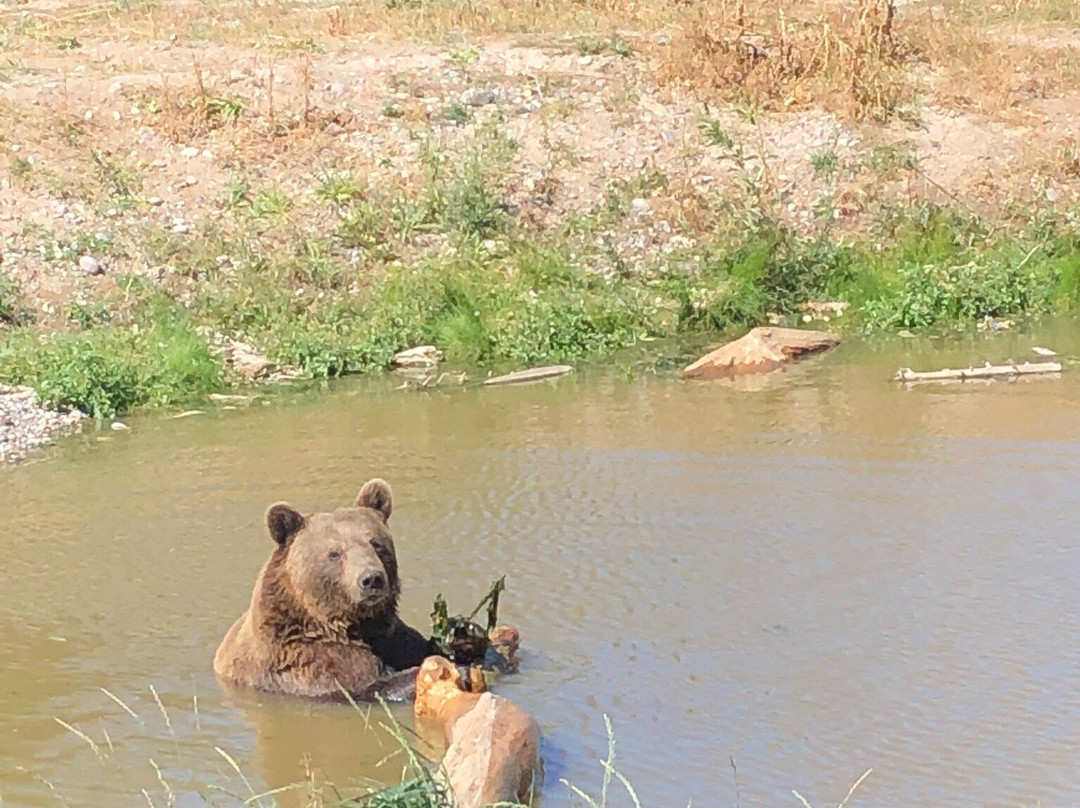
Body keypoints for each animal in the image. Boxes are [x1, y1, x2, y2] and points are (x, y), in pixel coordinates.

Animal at [213, 479, 438, 699]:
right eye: (334, 553)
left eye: (376, 543)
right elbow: (366, 687)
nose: (372, 579)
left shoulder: (394, 639)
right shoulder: (306, 661)